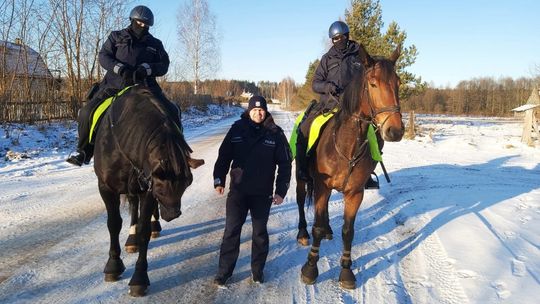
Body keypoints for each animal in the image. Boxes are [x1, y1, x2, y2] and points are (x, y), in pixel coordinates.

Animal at [92, 85, 204, 296]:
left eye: (187, 184)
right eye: (160, 189)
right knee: (131, 205)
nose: (172, 214)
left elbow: (144, 230)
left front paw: (139, 278)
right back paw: (131, 239)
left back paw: (150, 228)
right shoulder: (106, 188)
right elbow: (113, 224)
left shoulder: (146, 189)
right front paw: (113, 265)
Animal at [298, 44, 402, 290]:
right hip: (301, 179)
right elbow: (316, 226)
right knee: (301, 203)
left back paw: (328, 230)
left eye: (398, 82)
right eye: (373, 83)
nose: (395, 131)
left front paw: (346, 270)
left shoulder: (354, 193)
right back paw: (303, 233)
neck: (346, 146)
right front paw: (310, 267)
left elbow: (348, 231)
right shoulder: (322, 187)